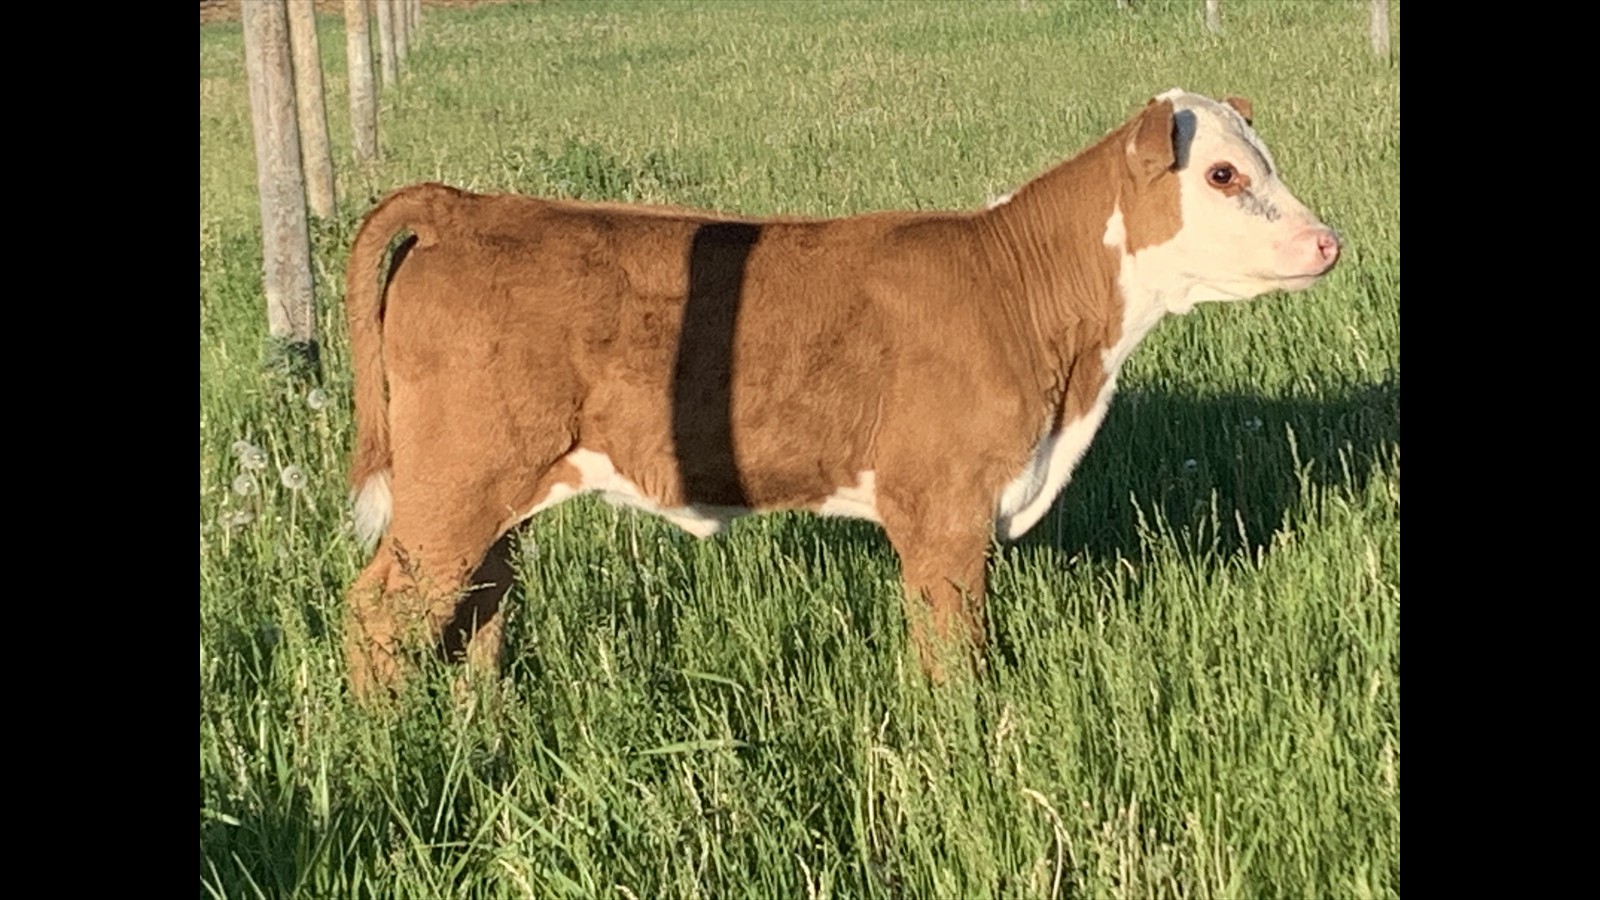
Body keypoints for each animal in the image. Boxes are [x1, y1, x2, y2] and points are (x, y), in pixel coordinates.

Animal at [340, 89, 1341, 699]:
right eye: (1223, 174)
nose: (1328, 242)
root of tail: (468, 205)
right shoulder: (943, 510)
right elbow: (952, 655)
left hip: (497, 495)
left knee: (478, 608)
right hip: (455, 482)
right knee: (383, 610)